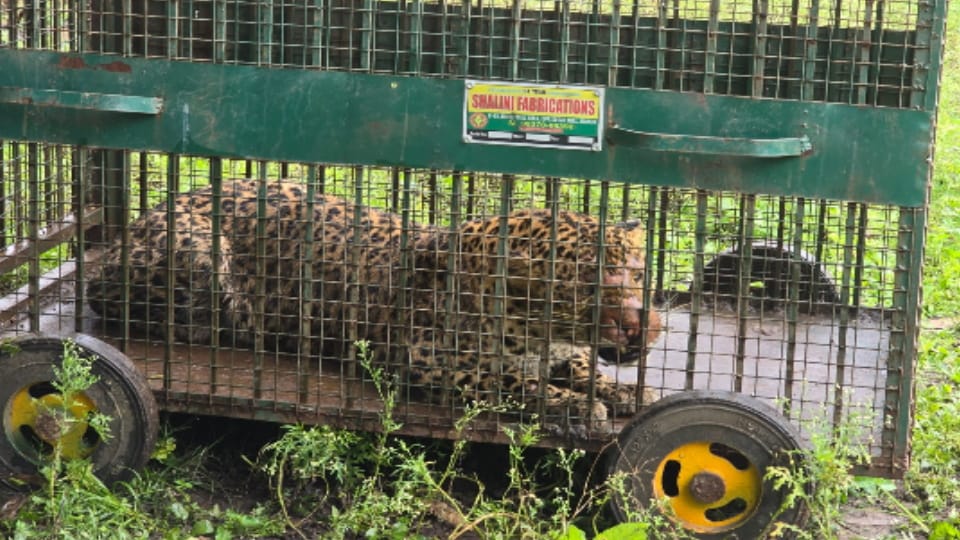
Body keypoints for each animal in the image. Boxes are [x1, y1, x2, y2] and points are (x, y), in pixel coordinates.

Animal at [87, 179, 662, 427]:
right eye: (590, 282)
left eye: (637, 273)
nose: (637, 326)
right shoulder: (428, 360)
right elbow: (513, 384)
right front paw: (578, 405)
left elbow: (582, 367)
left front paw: (627, 392)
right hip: (198, 250)